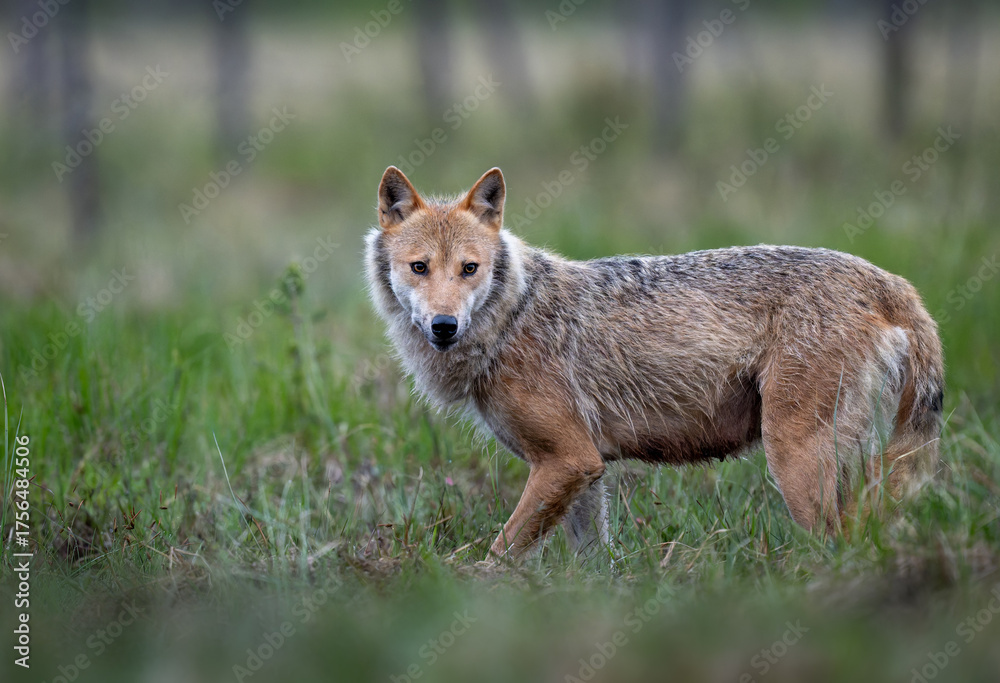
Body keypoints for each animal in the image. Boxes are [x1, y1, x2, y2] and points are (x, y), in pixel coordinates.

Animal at [365, 166, 944, 561]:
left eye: (469, 269)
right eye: (419, 268)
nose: (444, 326)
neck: (509, 320)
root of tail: (891, 282)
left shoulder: (567, 460)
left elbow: (498, 555)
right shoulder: (583, 469)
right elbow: (594, 564)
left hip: (794, 463)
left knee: (845, 545)